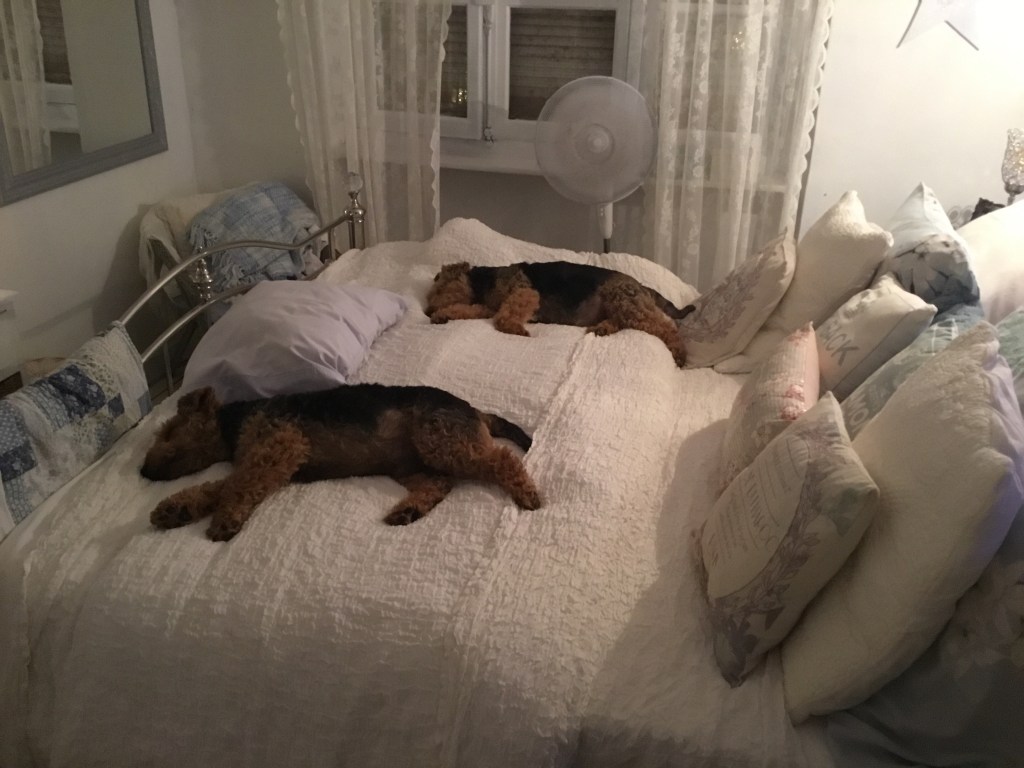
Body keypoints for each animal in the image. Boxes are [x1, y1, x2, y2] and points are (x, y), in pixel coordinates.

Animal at [141, 384, 541, 541]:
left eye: (168, 431)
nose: (143, 471)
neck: (235, 423)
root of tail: (476, 411)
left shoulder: (279, 445)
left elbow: (237, 485)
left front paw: (225, 520)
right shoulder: (267, 457)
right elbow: (219, 486)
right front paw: (174, 510)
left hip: (442, 439)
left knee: (502, 458)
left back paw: (528, 493)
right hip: (413, 463)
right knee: (439, 484)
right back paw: (407, 511)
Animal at [425, 261, 696, 366]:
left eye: (438, 288)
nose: (427, 311)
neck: (484, 282)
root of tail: (642, 286)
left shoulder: (524, 293)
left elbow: (503, 318)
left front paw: (516, 329)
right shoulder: (485, 306)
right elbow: (467, 310)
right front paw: (442, 316)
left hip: (624, 301)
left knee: (665, 327)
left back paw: (680, 355)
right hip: (621, 306)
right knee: (622, 321)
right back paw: (602, 328)